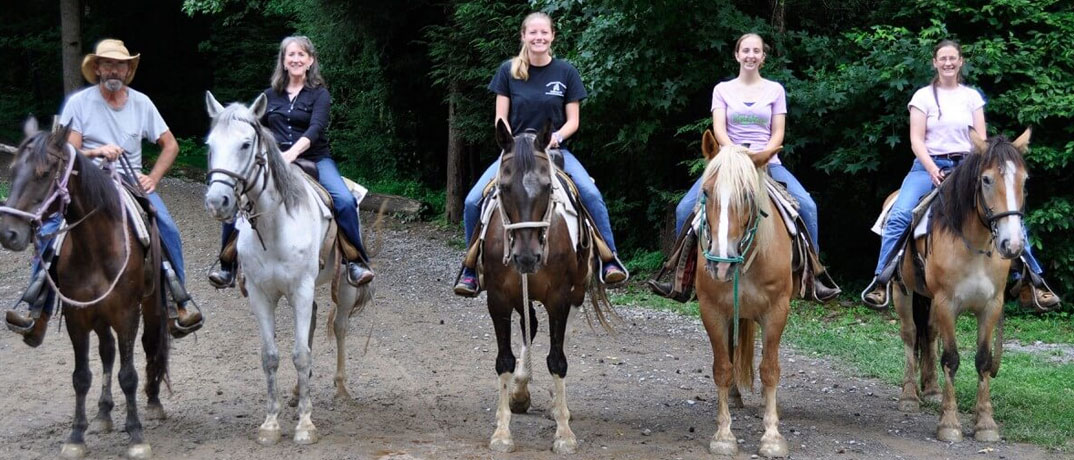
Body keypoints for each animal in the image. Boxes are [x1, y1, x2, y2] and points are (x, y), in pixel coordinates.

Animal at [0, 119, 168, 460]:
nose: (8, 233)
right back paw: (103, 413)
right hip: (99, 315)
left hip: (149, 306)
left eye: (44, 173)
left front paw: (136, 436)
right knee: (107, 351)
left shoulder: (127, 314)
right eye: (13, 170)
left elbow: (128, 376)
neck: (96, 246)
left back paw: (154, 403)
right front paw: (76, 436)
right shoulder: (78, 316)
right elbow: (81, 377)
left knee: (150, 344)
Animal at [204, 92, 373, 444]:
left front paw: (306, 426)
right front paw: (271, 424)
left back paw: (341, 390)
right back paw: (297, 393)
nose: (217, 201)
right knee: (313, 325)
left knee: (340, 328)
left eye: (245, 144)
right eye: (210, 145)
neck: (275, 226)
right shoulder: (260, 294)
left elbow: (301, 353)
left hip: (345, 288)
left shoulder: (301, 288)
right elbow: (271, 356)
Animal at [481, 118, 614, 453]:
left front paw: (564, 433)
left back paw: (556, 406)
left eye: (546, 187)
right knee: (530, 325)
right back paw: (520, 391)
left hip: (575, 292)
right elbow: (504, 360)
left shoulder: (559, 298)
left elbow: (557, 360)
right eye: (504, 187)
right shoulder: (499, 299)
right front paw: (502, 432)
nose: (527, 257)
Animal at [691, 131, 794, 457]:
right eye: (706, 192)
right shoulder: (712, 311)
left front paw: (772, 437)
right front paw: (724, 435)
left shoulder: (777, 311)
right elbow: (723, 368)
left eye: (747, 196)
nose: (720, 264)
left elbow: (770, 369)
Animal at [889, 128, 1031, 442]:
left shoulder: (991, 306)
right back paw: (909, 396)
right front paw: (950, 423)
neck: (975, 246)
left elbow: (983, 360)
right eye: (986, 179)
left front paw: (986, 423)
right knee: (910, 335)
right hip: (902, 291)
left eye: (1024, 180)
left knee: (928, 333)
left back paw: (931, 390)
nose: (1012, 244)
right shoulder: (947, 303)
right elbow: (951, 359)